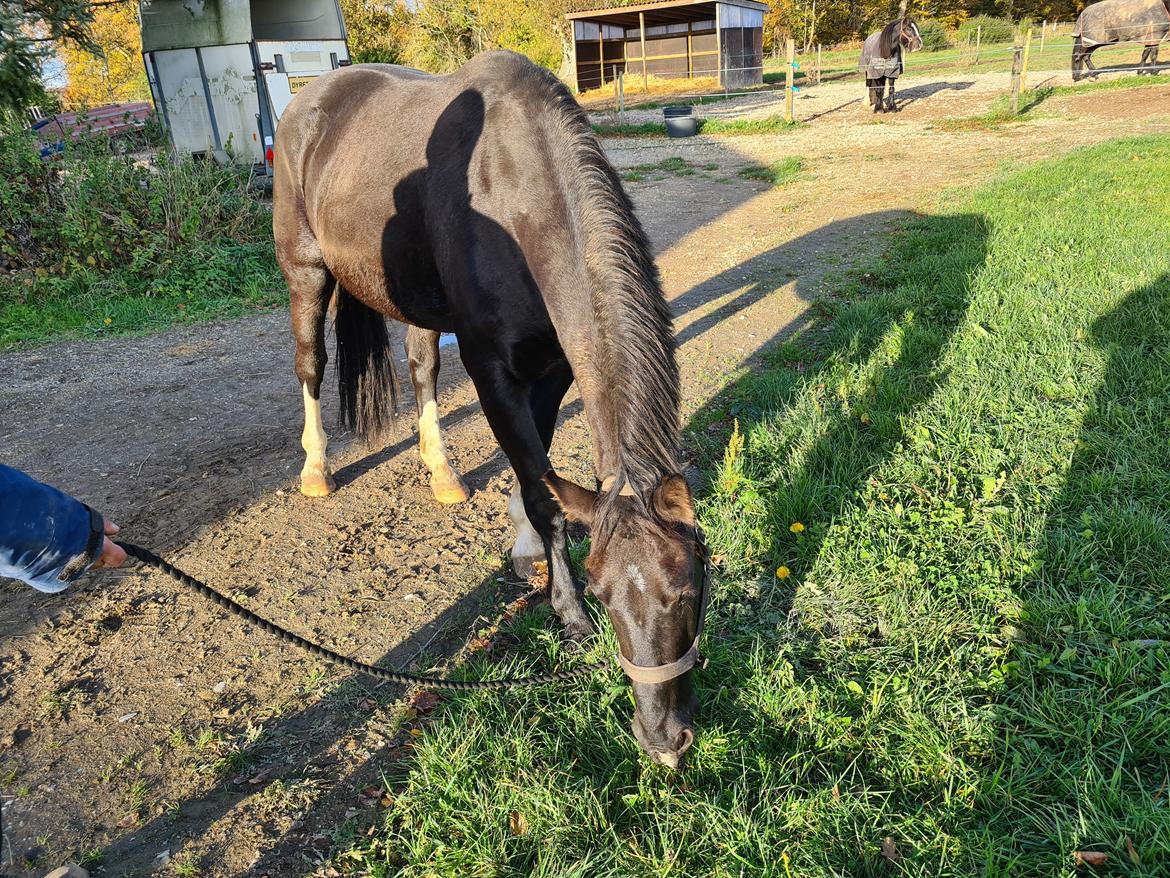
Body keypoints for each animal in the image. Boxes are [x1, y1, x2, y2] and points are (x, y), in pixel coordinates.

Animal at [276, 51, 702, 767]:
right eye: (605, 595)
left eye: (691, 588)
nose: (662, 740)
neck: (519, 195)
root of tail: (314, 95)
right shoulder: (492, 372)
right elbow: (538, 486)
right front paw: (566, 610)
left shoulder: (552, 364)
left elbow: (544, 470)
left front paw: (527, 547)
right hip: (306, 270)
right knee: (312, 363)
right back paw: (316, 470)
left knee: (420, 365)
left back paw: (442, 474)